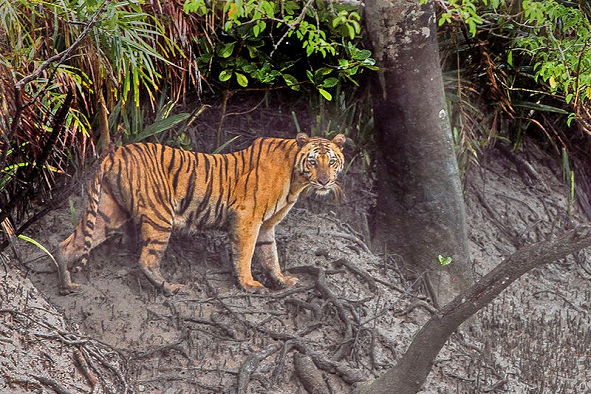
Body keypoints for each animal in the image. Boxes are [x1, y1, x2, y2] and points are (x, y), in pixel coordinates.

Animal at [55, 133, 346, 296]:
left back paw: (66, 284)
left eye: (332, 161)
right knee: (146, 260)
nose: (324, 181)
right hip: (160, 215)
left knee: (67, 244)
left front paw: (282, 281)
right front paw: (249, 284)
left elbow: (269, 254)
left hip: (108, 212)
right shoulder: (247, 219)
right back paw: (170, 288)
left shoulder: (266, 226)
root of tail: (115, 152)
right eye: (313, 161)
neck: (296, 180)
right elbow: (246, 254)